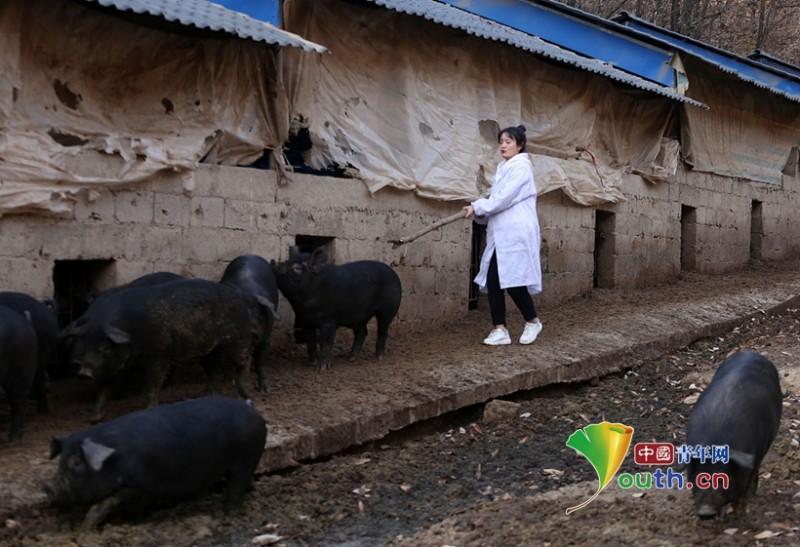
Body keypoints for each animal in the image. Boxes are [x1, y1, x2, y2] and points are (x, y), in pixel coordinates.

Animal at [45, 398, 268, 532]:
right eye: (60, 462)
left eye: (76, 464)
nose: (48, 487)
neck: (114, 462)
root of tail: (251, 407)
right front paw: (137, 522)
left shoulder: (138, 487)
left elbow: (110, 502)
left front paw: (87, 528)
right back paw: (253, 492)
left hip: (246, 458)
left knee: (236, 487)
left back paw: (229, 514)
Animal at [61, 280, 255, 422]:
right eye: (85, 346)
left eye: (106, 348)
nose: (84, 373)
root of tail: (240, 298)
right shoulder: (118, 365)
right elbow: (107, 387)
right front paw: (94, 418)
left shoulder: (159, 355)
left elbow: (153, 383)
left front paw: (148, 409)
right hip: (207, 351)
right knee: (215, 370)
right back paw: (206, 397)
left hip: (237, 339)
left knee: (242, 364)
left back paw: (247, 395)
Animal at [220, 255, 280, 392]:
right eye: (237, 316)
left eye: (259, 315)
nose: (251, 333)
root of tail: (249, 254)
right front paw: (229, 380)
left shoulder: (267, 335)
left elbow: (260, 361)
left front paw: (265, 389)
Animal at [684, 352, 784, 520]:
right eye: (699, 477)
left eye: (724, 478)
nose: (705, 512)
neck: (715, 440)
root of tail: (751, 352)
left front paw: (737, 515)